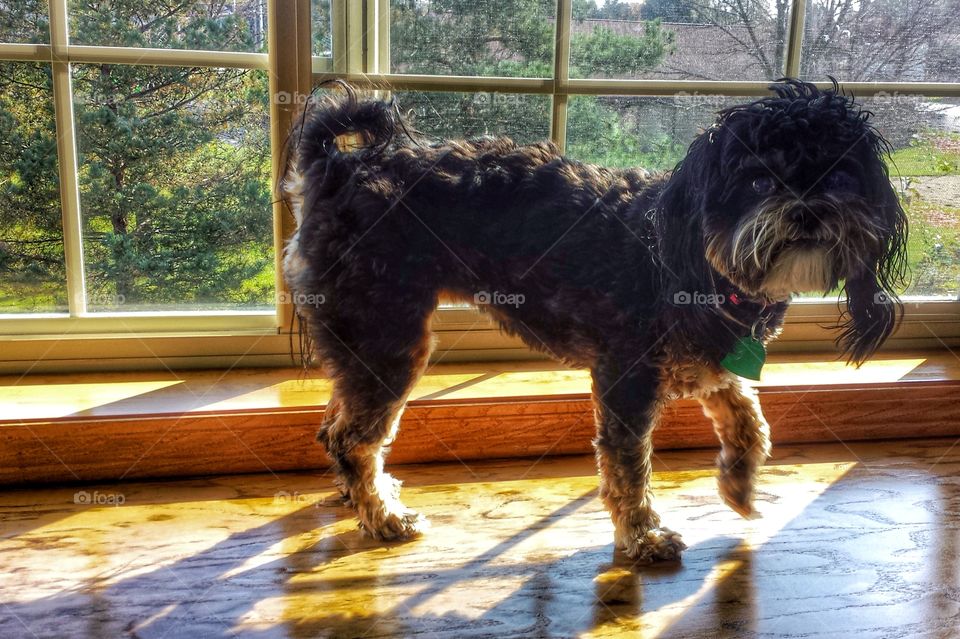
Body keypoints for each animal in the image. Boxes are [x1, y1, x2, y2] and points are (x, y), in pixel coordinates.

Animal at [284, 77, 908, 564]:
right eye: (757, 181)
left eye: (841, 177)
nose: (809, 210)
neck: (694, 257)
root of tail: (338, 167)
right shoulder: (625, 379)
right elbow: (629, 467)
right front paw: (643, 535)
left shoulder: (707, 364)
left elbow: (750, 420)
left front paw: (739, 485)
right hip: (388, 337)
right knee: (352, 437)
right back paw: (382, 516)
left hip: (363, 340)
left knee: (334, 428)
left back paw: (359, 499)